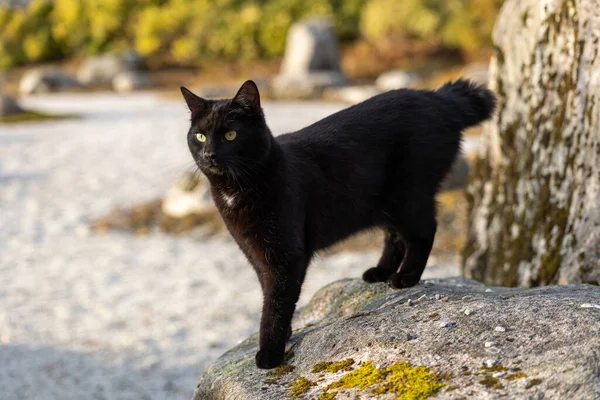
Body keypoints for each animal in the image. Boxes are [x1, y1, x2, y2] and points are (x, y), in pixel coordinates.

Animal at [180, 79, 494, 370]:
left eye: (230, 134)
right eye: (200, 136)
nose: (209, 154)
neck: (235, 189)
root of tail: (439, 98)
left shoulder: (286, 255)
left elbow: (276, 301)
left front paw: (270, 351)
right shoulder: (255, 252)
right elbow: (271, 293)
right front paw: (285, 333)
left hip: (409, 194)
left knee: (423, 232)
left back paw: (406, 277)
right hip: (383, 202)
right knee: (395, 235)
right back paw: (380, 272)